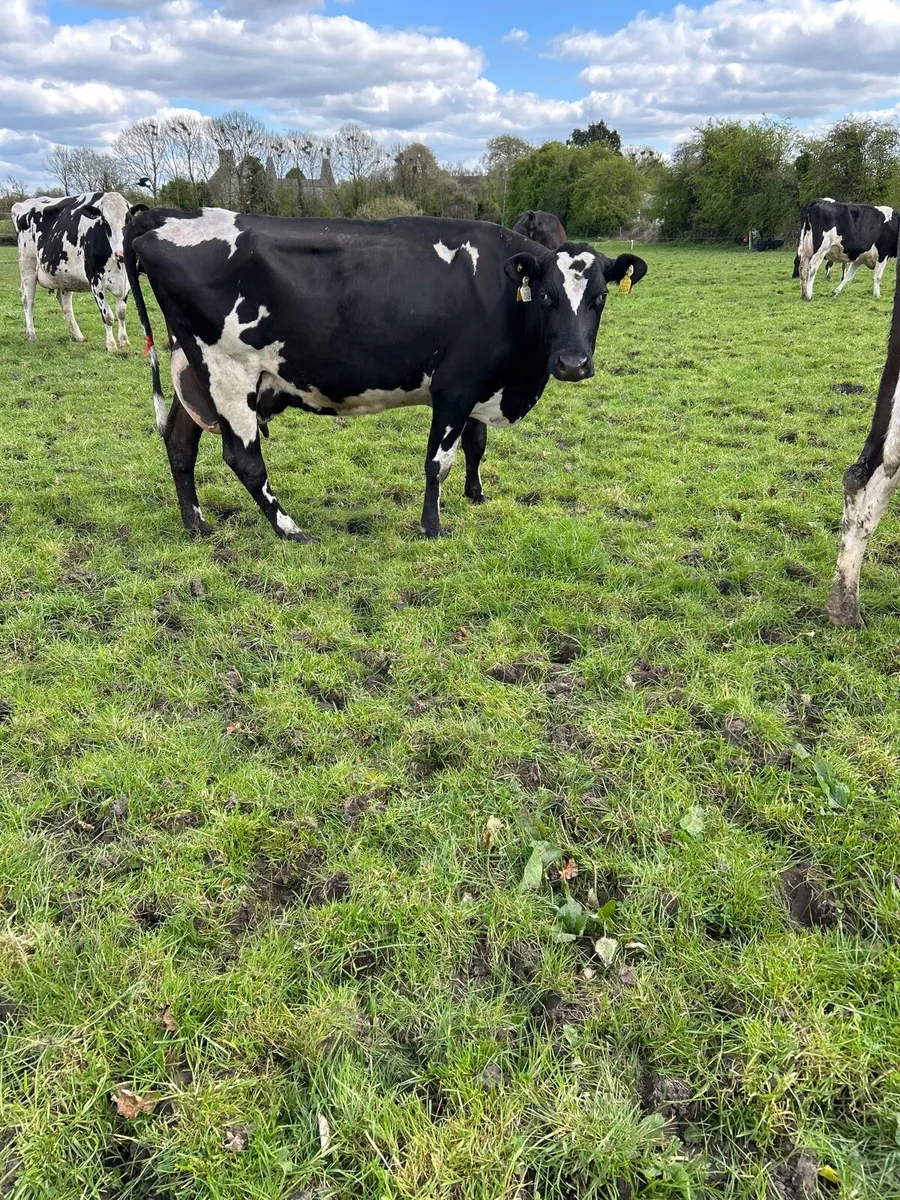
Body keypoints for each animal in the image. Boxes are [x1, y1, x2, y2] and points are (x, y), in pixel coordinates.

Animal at [13, 192, 146, 350]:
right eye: (104, 221)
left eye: (129, 219)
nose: (121, 253)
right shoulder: (96, 281)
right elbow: (108, 316)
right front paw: (111, 345)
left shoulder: (126, 280)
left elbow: (121, 313)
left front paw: (124, 341)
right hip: (27, 267)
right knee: (28, 300)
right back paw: (31, 335)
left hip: (64, 276)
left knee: (65, 304)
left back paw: (77, 335)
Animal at [124, 208, 648, 542]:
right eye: (545, 296)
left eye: (600, 296)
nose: (573, 364)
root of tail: (159, 219)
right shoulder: (454, 388)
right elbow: (438, 461)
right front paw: (433, 527)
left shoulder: (482, 384)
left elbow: (476, 446)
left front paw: (476, 495)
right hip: (229, 375)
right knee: (244, 460)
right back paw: (289, 529)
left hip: (194, 376)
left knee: (179, 443)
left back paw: (196, 524)